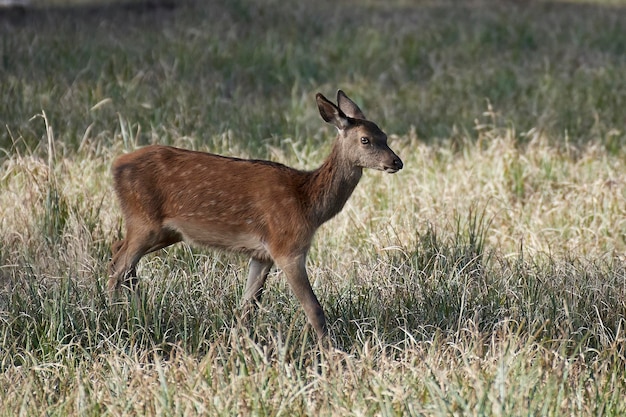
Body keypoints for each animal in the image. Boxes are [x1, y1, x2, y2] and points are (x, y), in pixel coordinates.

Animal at [108, 89, 402, 340]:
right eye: (365, 139)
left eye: (385, 136)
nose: (396, 162)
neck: (308, 204)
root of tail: (116, 165)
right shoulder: (287, 246)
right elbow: (314, 310)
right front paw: (332, 354)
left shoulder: (262, 255)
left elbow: (248, 305)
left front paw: (238, 342)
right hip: (143, 220)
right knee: (118, 266)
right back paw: (111, 315)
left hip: (164, 231)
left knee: (119, 253)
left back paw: (137, 312)